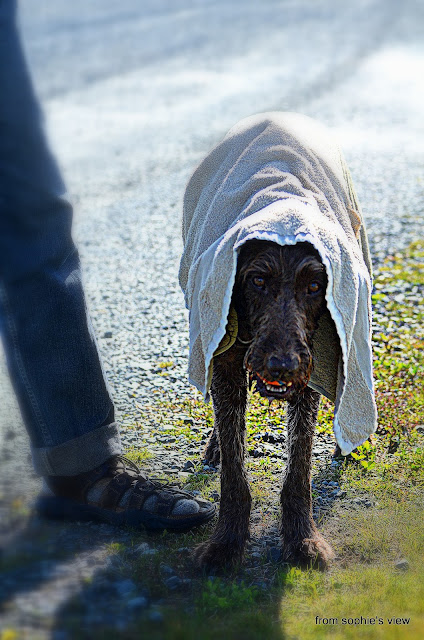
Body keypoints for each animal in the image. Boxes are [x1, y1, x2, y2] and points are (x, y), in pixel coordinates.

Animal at [195, 239, 336, 570]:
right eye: (258, 281)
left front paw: (303, 538)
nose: (282, 367)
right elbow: (233, 468)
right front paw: (227, 542)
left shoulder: (308, 371)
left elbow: (299, 466)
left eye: (314, 286)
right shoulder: (225, 363)